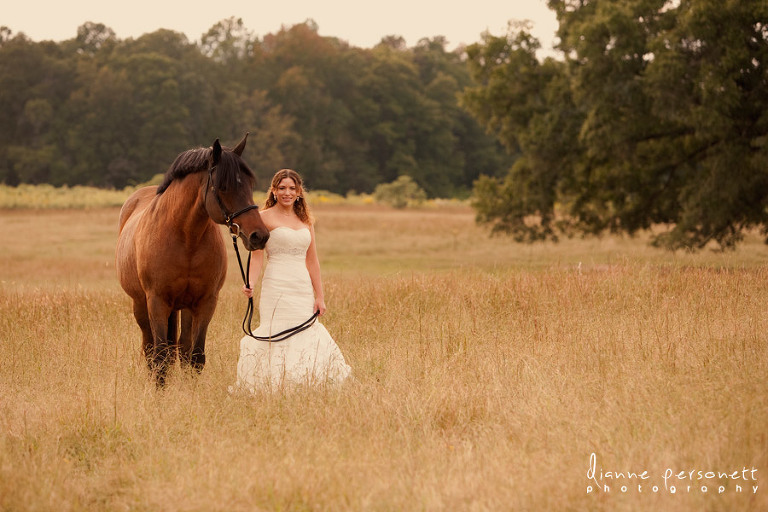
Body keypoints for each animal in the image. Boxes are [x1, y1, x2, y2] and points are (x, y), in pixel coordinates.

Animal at [114, 134, 270, 386]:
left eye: (249, 184)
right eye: (224, 187)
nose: (259, 235)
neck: (186, 238)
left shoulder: (206, 302)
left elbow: (195, 356)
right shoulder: (156, 301)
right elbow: (160, 355)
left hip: (184, 308)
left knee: (182, 347)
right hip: (140, 304)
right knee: (150, 348)